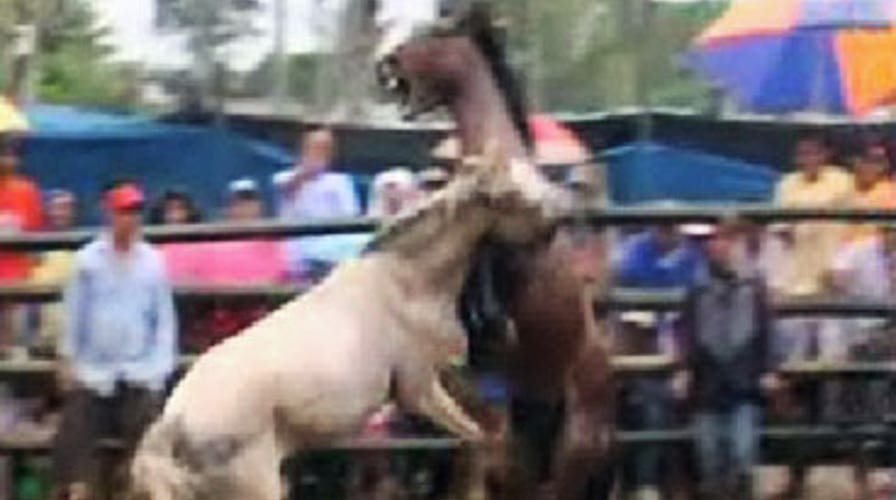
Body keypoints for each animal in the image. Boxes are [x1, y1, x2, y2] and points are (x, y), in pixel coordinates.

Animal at [128, 151, 558, 500]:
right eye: (512, 195)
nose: (559, 217)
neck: (406, 282)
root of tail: (175, 423)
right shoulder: (420, 385)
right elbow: (480, 438)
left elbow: (483, 434)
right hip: (256, 486)